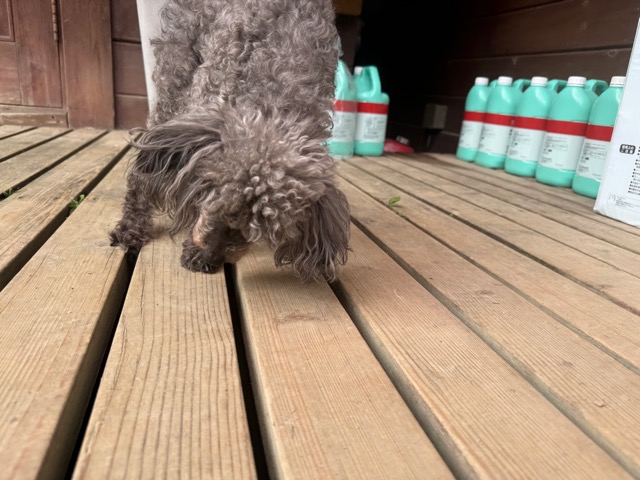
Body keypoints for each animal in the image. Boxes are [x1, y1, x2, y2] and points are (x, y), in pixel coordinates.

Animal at [110, 0, 351, 282]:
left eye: (257, 229)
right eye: (212, 202)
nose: (211, 255)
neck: (271, 104)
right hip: (176, 66)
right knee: (144, 166)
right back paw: (131, 227)